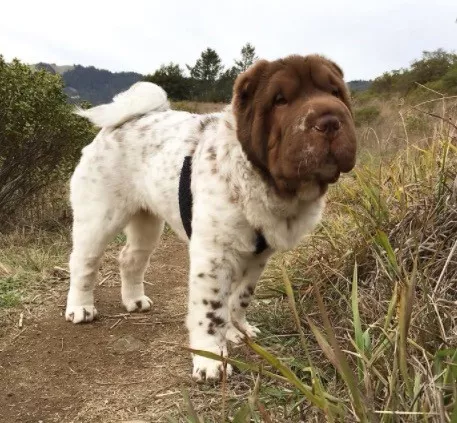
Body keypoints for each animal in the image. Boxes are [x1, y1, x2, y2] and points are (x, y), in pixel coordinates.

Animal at [65, 54, 356, 382]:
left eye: (336, 93)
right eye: (280, 100)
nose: (330, 121)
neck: (266, 184)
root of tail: (121, 121)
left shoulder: (256, 258)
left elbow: (238, 298)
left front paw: (237, 331)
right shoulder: (214, 257)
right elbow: (211, 310)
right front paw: (210, 359)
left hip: (147, 223)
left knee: (130, 259)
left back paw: (134, 300)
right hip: (99, 219)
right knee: (83, 263)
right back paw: (80, 308)